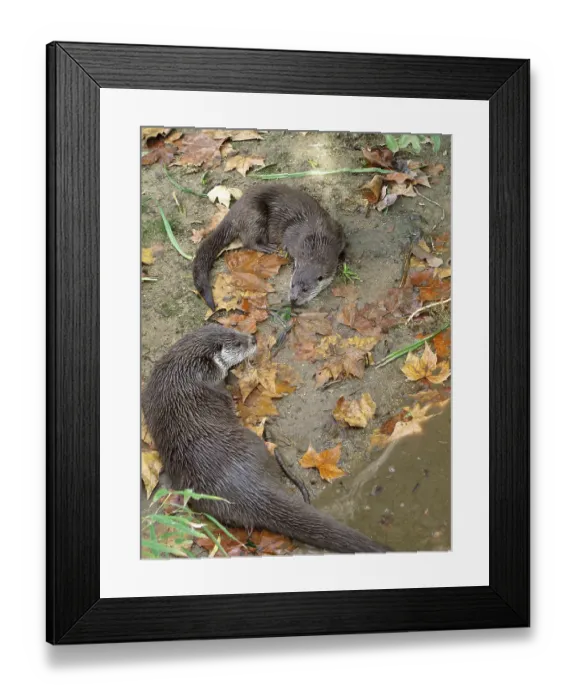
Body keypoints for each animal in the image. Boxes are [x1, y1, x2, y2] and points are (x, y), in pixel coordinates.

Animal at [142, 325, 389, 554]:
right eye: (237, 344)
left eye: (233, 330)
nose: (252, 338)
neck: (183, 372)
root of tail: (247, 488)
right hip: (255, 443)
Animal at [193, 184, 345, 310]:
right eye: (292, 284)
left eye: (305, 289)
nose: (293, 299)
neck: (317, 239)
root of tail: (234, 210)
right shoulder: (291, 235)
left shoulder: (338, 234)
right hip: (255, 215)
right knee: (249, 240)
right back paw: (266, 247)